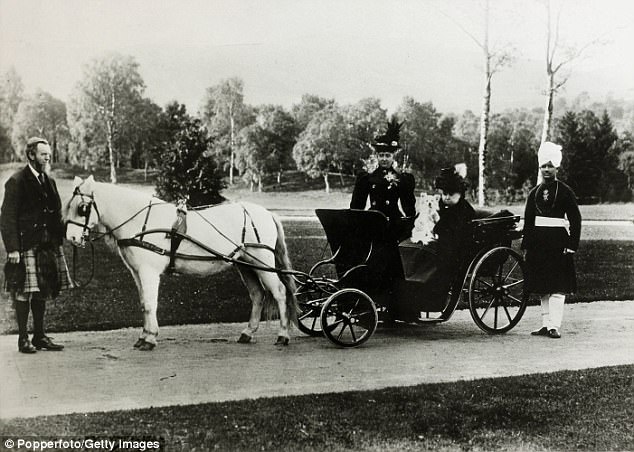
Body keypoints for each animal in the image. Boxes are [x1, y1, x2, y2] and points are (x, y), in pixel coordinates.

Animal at [65, 176, 298, 350]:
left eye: (83, 208)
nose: (72, 238)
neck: (141, 222)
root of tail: (266, 212)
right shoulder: (137, 272)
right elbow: (143, 303)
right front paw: (144, 336)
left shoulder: (149, 272)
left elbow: (150, 304)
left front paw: (150, 338)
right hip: (246, 265)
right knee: (257, 294)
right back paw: (247, 333)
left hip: (263, 263)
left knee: (279, 292)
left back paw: (283, 335)